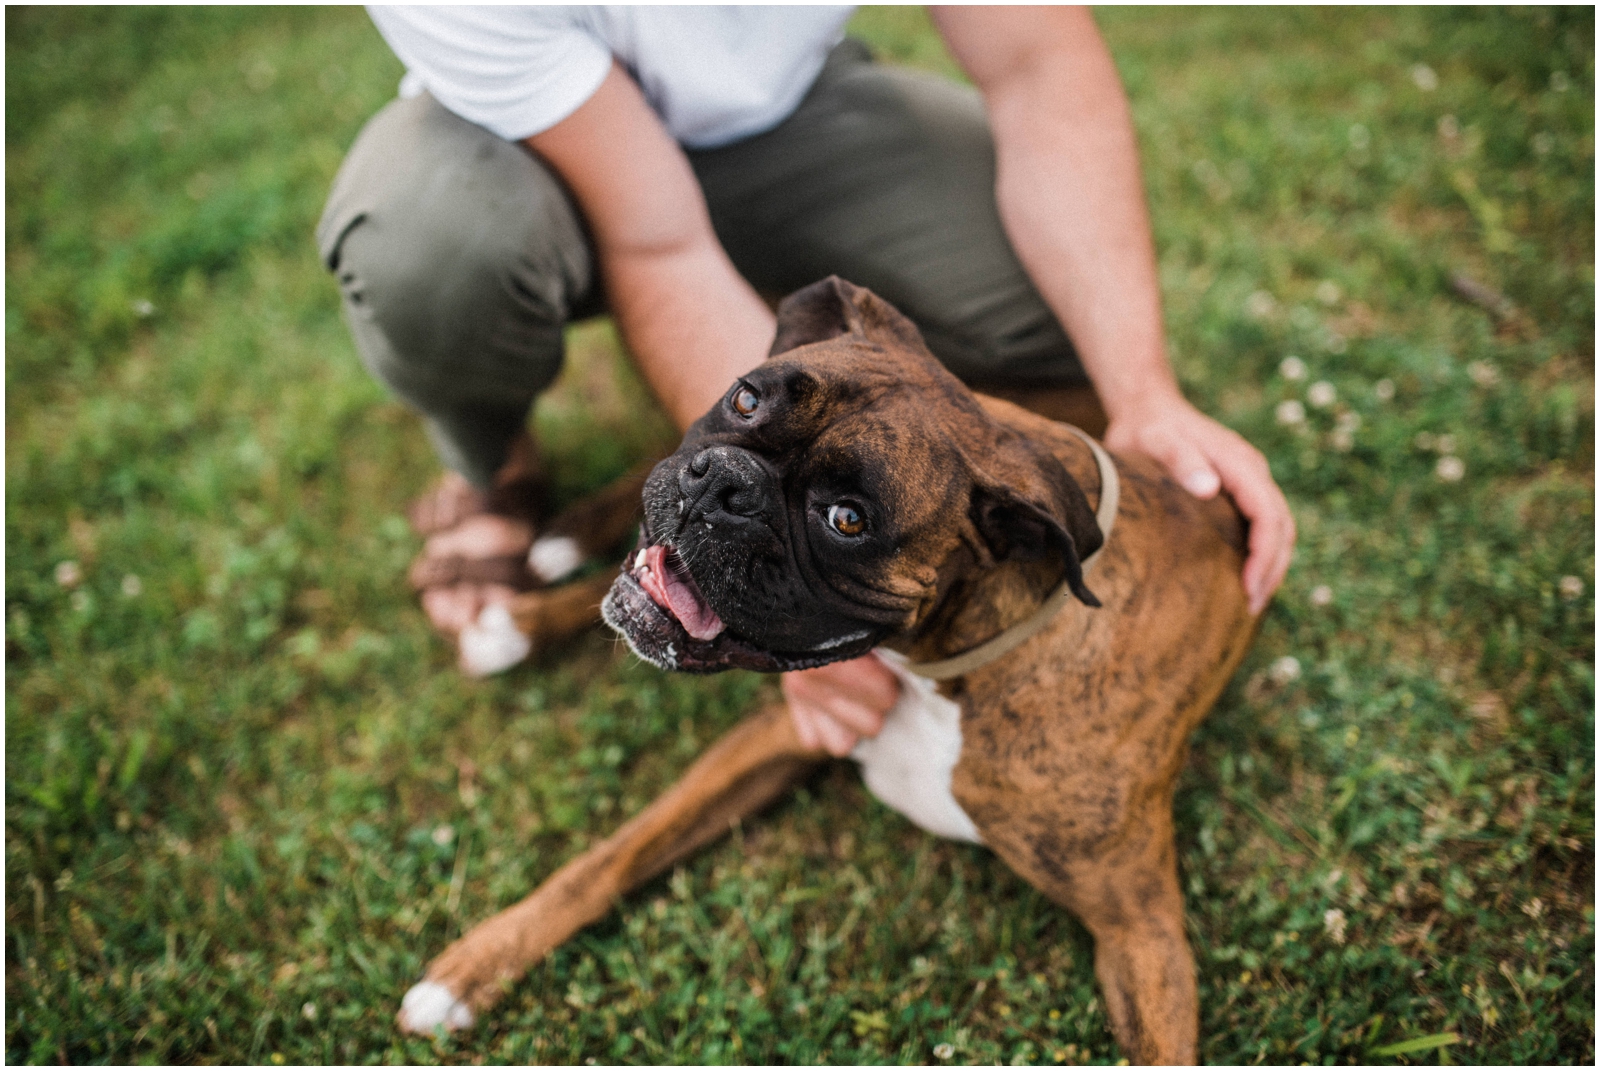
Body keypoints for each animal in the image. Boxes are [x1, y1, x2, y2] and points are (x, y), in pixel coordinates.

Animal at [400, 275, 1260, 1062]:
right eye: (747, 399)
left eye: (847, 519)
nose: (725, 483)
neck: (946, 671)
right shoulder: (780, 731)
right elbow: (612, 855)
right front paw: (469, 968)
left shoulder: (1144, 929)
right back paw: (522, 605)